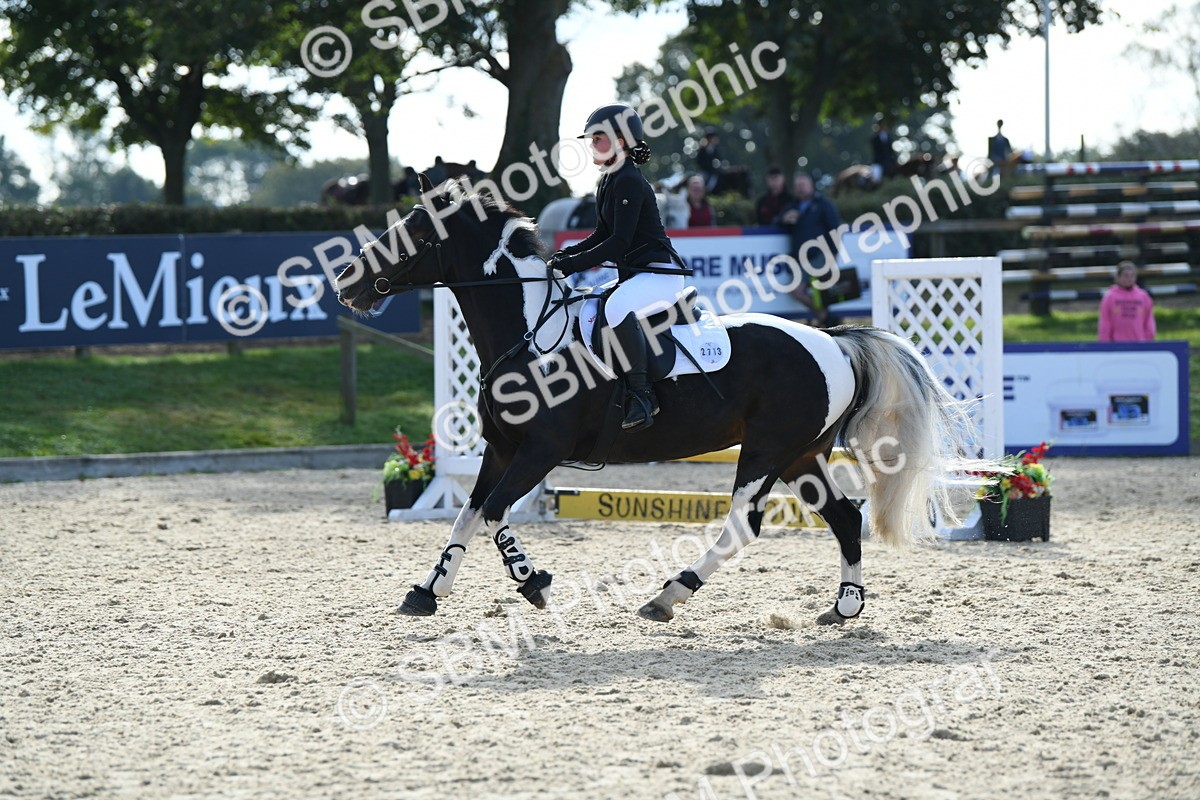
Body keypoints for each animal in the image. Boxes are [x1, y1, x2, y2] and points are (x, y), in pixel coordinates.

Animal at [334, 175, 989, 626]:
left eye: (417, 234)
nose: (345, 282)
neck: (527, 332)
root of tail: (832, 339)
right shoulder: (500, 449)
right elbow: (467, 516)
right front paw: (427, 591)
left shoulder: (541, 451)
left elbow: (495, 515)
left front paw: (533, 582)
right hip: (802, 456)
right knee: (845, 517)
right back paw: (844, 607)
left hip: (765, 452)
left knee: (743, 525)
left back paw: (668, 595)